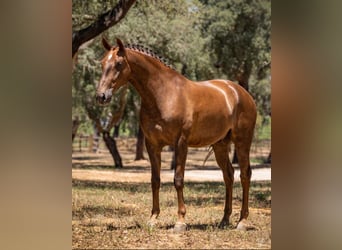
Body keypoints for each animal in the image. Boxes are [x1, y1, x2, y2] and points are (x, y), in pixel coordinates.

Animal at [96, 37, 256, 232]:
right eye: (102, 63)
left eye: (119, 64)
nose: (101, 96)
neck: (164, 94)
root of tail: (241, 93)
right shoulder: (152, 145)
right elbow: (155, 180)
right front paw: (153, 218)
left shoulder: (180, 144)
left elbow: (178, 179)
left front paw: (180, 221)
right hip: (220, 145)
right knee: (229, 175)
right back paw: (224, 220)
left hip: (242, 142)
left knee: (245, 175)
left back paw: (242, 221)